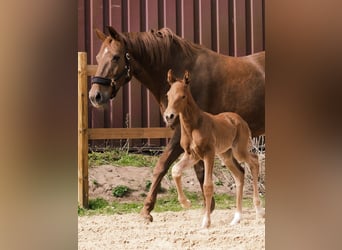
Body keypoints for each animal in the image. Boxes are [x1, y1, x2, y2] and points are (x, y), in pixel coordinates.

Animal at [163, 69, 264, 228]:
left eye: (183, 96)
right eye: (168, 95)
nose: (169, 116)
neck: (194, 125)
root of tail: (241, 120)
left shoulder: (208, 154)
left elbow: (207, 185)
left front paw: (206, 222)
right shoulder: (191, 155)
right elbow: (175, 170)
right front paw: (186, 203)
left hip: (239, 150)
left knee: (253, 161)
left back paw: (259, 211)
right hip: (226, 155)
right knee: (240, 174)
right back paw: (236, 218)